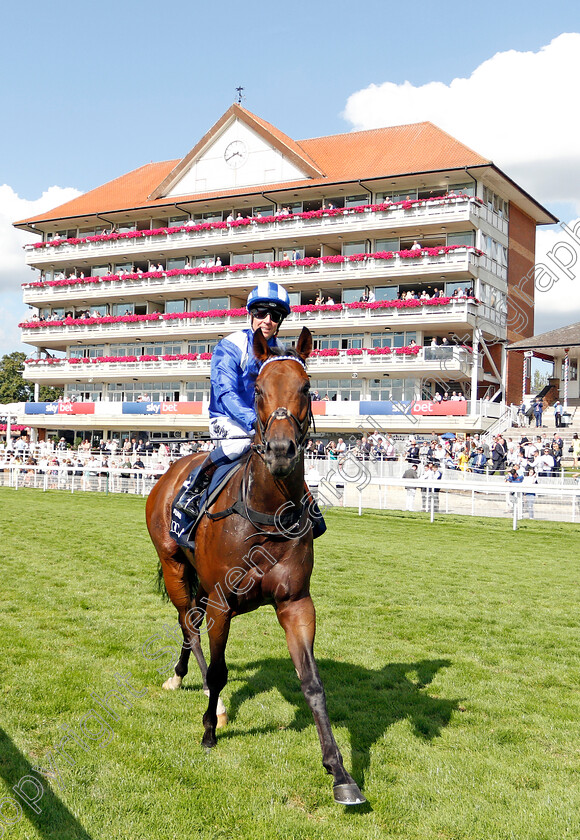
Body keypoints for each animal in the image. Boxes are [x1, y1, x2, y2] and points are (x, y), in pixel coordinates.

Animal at [147, 324, 368, 804]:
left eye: (306, 388)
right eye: (260, 390)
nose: (282, 450)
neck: (267, 513)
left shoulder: (296, 602)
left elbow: (313, 683)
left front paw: (340, 773)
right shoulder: (222, 602)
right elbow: (219, 670)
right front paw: (210, 730)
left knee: (188, 622)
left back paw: (180, 675)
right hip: (173, 565)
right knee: (188, 623)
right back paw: (200, 692)